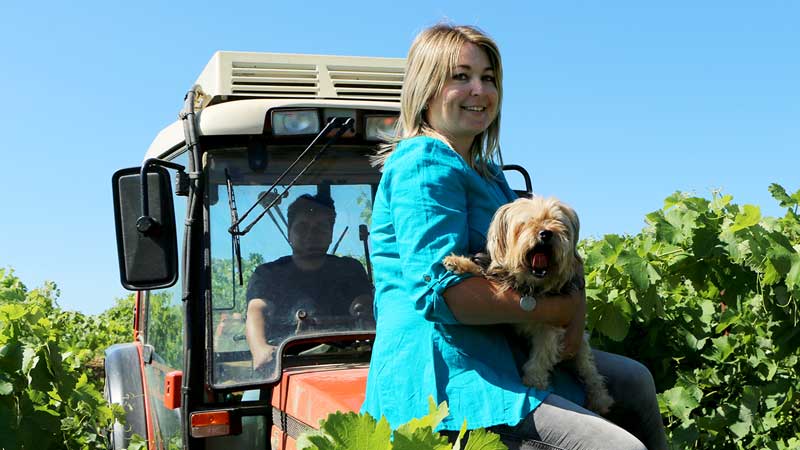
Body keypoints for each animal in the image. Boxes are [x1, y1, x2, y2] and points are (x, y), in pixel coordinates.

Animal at [444, 197, 612, 414]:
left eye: (557, 222)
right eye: (527, 223)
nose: (546, 233)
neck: (532, 286)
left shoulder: (551, 325)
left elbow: (542, 353)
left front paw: (534, 381)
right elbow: (484, 271)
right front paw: (459, 262)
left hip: (582, 349)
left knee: (591, 374)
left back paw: (600, 399)